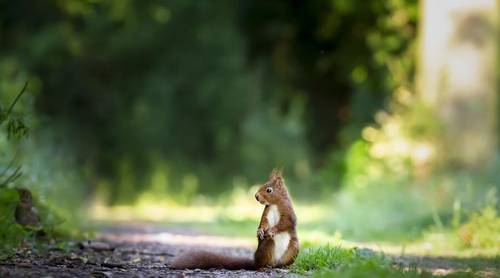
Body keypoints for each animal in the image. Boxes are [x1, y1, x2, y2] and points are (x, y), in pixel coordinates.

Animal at [170, 169, 298, 270]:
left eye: (269, 190)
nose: (256, 196)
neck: (275, 204)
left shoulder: (288, 212)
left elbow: (285, 223)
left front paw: (272, 230)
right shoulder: (267, 212)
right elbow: (264, 222)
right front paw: (260, 231)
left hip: (293, 249)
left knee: (283, 262)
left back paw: (284, 266)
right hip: (267, 247)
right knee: (261, 263)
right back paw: (262, 267)